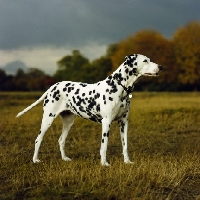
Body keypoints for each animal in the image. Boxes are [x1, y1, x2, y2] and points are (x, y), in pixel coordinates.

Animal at [16, 54, 162, 166]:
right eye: (145, 60)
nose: (160, 67)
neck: (119, 87)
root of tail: (53, 86)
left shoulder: (124, 122)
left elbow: (125, 145)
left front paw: (127, 162)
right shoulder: (106, 123)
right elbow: (104, 146)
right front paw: (104, 163)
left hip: (69, 122)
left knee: (61, 140)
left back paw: (64, 158)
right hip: (48, 119)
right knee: (38, 139)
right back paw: (35, 160)